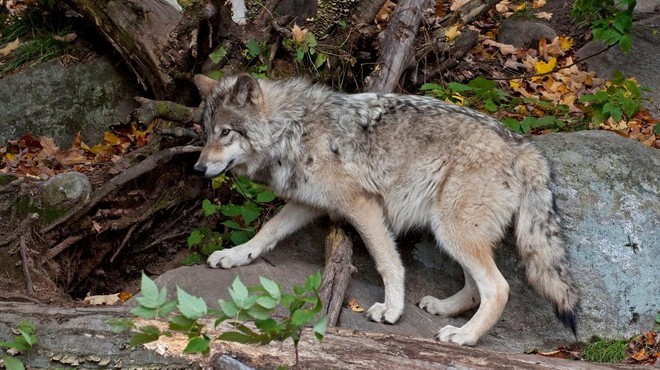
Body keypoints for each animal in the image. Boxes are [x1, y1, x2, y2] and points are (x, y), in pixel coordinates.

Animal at [192, 73, 576, 346]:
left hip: (453, 231)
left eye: (226, 133)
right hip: (451, 232)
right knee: (473, 288)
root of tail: (522, 144)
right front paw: (235, 255)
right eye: (206, 132)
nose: (197, 168)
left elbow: (387, 262)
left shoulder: (362, 206)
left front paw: (392, 310)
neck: (292, 129)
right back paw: (443, 310)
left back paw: (464, 336)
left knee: (498, 288)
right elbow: (266, 231)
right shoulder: (307, 203)